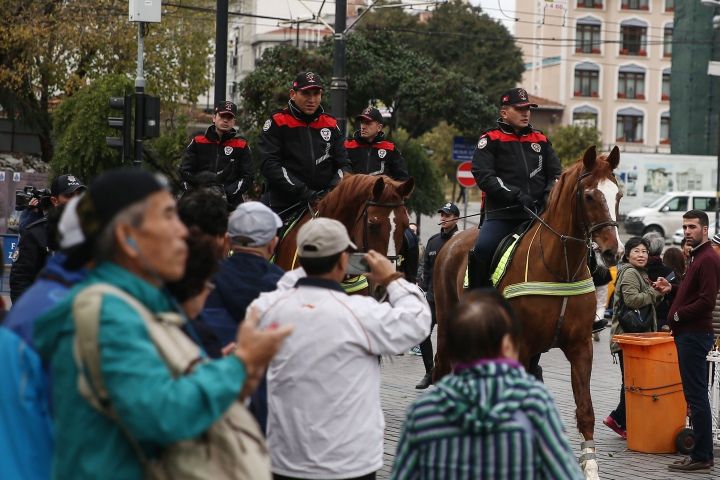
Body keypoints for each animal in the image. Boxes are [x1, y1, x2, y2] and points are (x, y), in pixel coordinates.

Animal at [434, 146, 624, 480]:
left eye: (619, 195)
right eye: (590, 196)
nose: (614, 252)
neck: (558, 265)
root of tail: (453, 239)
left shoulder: (579, 347)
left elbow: (585, 409)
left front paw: (589, 466)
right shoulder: (521, 346)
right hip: (446, 329)